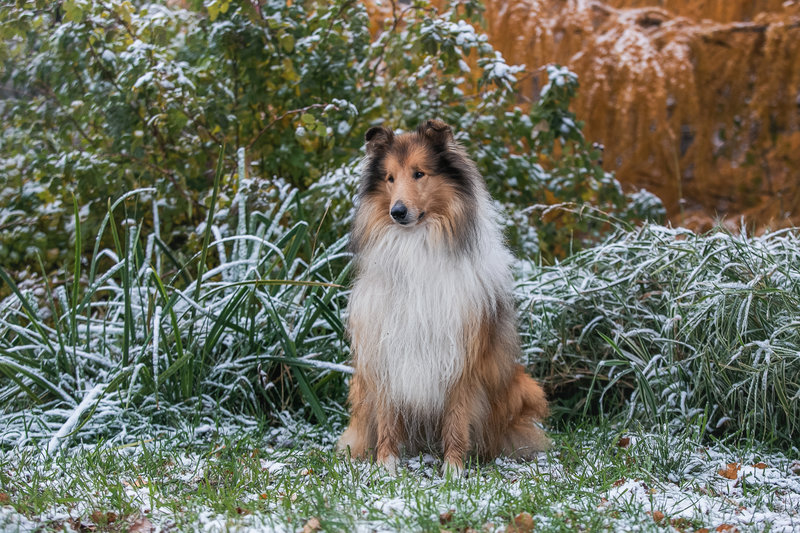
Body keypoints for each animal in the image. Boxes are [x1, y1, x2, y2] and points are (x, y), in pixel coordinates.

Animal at [338, 119, 552, 474]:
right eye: (389, 178)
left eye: (419, 173)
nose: (398, 212)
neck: (417, 244)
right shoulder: (385, 352)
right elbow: (388, 418)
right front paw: (386, 466)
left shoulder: (461, 356)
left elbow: (456, 418)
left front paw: (453, 469)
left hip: (523, 386)